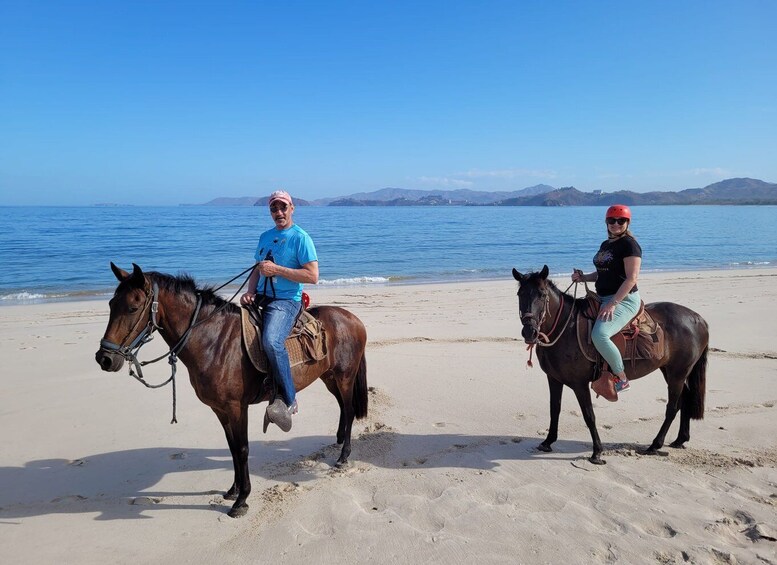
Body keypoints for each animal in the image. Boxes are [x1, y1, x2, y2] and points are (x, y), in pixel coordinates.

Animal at [93, 264, 366, 516]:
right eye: (111, 303)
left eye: (133, 307)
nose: (104, 358)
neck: (213, 341)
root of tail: (353, 319)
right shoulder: (220, 409)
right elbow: (233, 447)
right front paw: (234, 490)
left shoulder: (236, 407)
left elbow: (243, 448)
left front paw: (242, 499)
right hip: (328, 377)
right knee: (342, 407)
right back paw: (338, 440)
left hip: (344, 377)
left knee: (349, 408)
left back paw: (343, 457)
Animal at [512, 264, 708, 462]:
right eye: (520, 294)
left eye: (542, 294)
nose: (529, 332)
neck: (565, 328)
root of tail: (699, 319)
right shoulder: (554, 379)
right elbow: (555, 409)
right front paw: (548, 441)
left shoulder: (579, 384)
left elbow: (589, 415)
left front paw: (597, 452)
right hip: (669, 370)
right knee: (685, 398)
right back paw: (680, 439)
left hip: (677, 373)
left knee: (672, 407)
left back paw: (655, 445)